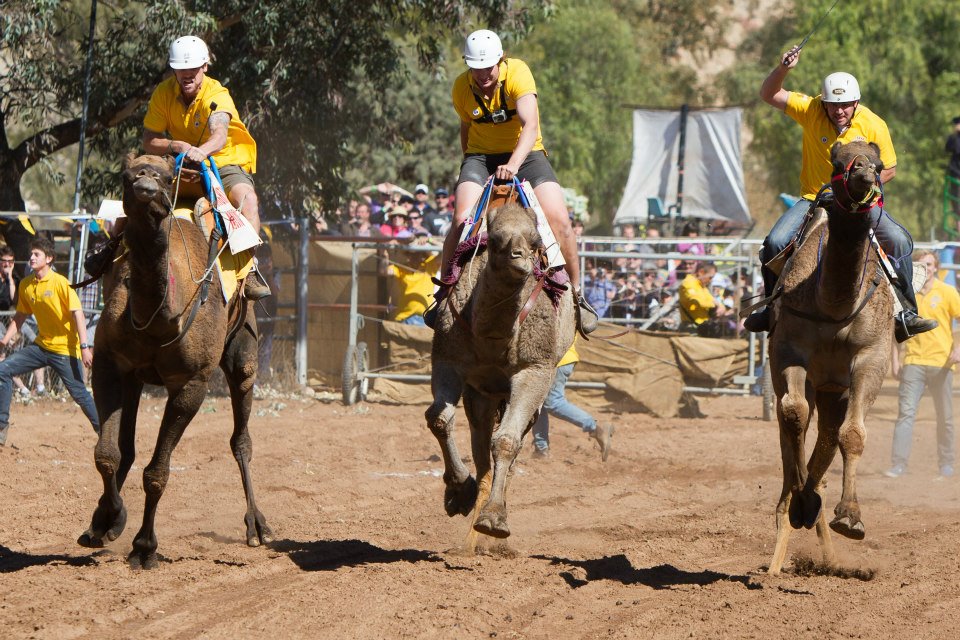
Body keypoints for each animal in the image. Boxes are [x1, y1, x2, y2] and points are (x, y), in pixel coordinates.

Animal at [77, 152, 274, 568]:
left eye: (169, 178)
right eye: (126, 176)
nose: (146, 187)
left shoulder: (191, 383)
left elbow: (157, 472)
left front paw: (144, 547)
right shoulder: (109, 365)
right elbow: (107, 453)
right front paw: (108, 521)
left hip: (243, 348)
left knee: (241, 437)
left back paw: (257, 527)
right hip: (135, 378)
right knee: (127, 448)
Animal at [426, 202, 572, 548]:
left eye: (536, 241)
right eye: (494, 240)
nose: (519, 259)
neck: (492, 333)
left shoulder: (533, 371)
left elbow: (506, 441)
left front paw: (494, 520)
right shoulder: (448, 361)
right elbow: (439, 418)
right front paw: (458, 491)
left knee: (509, 447)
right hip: (481, 394)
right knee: (481, 457)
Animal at [764, 139, 892, 576]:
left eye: (879, 163)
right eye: (837, 160)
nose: (863, 175)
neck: (835, 305)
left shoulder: (871, 358)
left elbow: (852, 434)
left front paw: (850, 517)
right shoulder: (789, 352)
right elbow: (793, 413)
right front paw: (802, 505)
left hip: (834, 389)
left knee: (829, 436)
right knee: (794, 438)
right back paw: (786, 539)